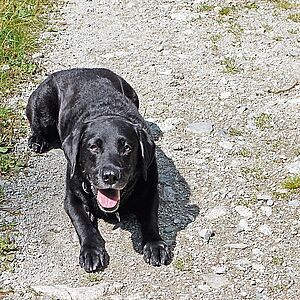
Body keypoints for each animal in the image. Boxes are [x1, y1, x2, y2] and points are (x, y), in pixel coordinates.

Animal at [26, 68, 170, 272]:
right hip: (41, 105)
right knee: (38, 126)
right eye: (93, 146)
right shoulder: (72, 198)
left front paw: (155, 244)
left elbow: (151, 218)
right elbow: (83, 223)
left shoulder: (149, 190)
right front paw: (91, 251)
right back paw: (37, 140)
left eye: (127, 148)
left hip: (134, 94)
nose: (110, 175)